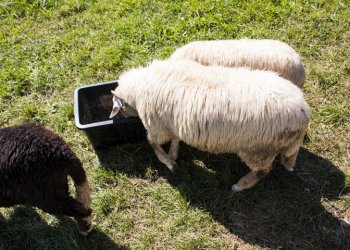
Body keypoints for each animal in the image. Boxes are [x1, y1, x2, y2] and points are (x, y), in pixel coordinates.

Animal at [108, 59, 308, 190]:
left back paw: (241, 185)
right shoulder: (172, 122)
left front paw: (169, 162)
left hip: (258, 149)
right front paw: (173, 155)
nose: (115, 118)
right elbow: (175, 140)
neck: (140, 87)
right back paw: (288, 164)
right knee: (289, 155)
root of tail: (304, 112)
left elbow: (153, 144)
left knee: (262, 171)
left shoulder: (158, 126)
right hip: (275, 145)